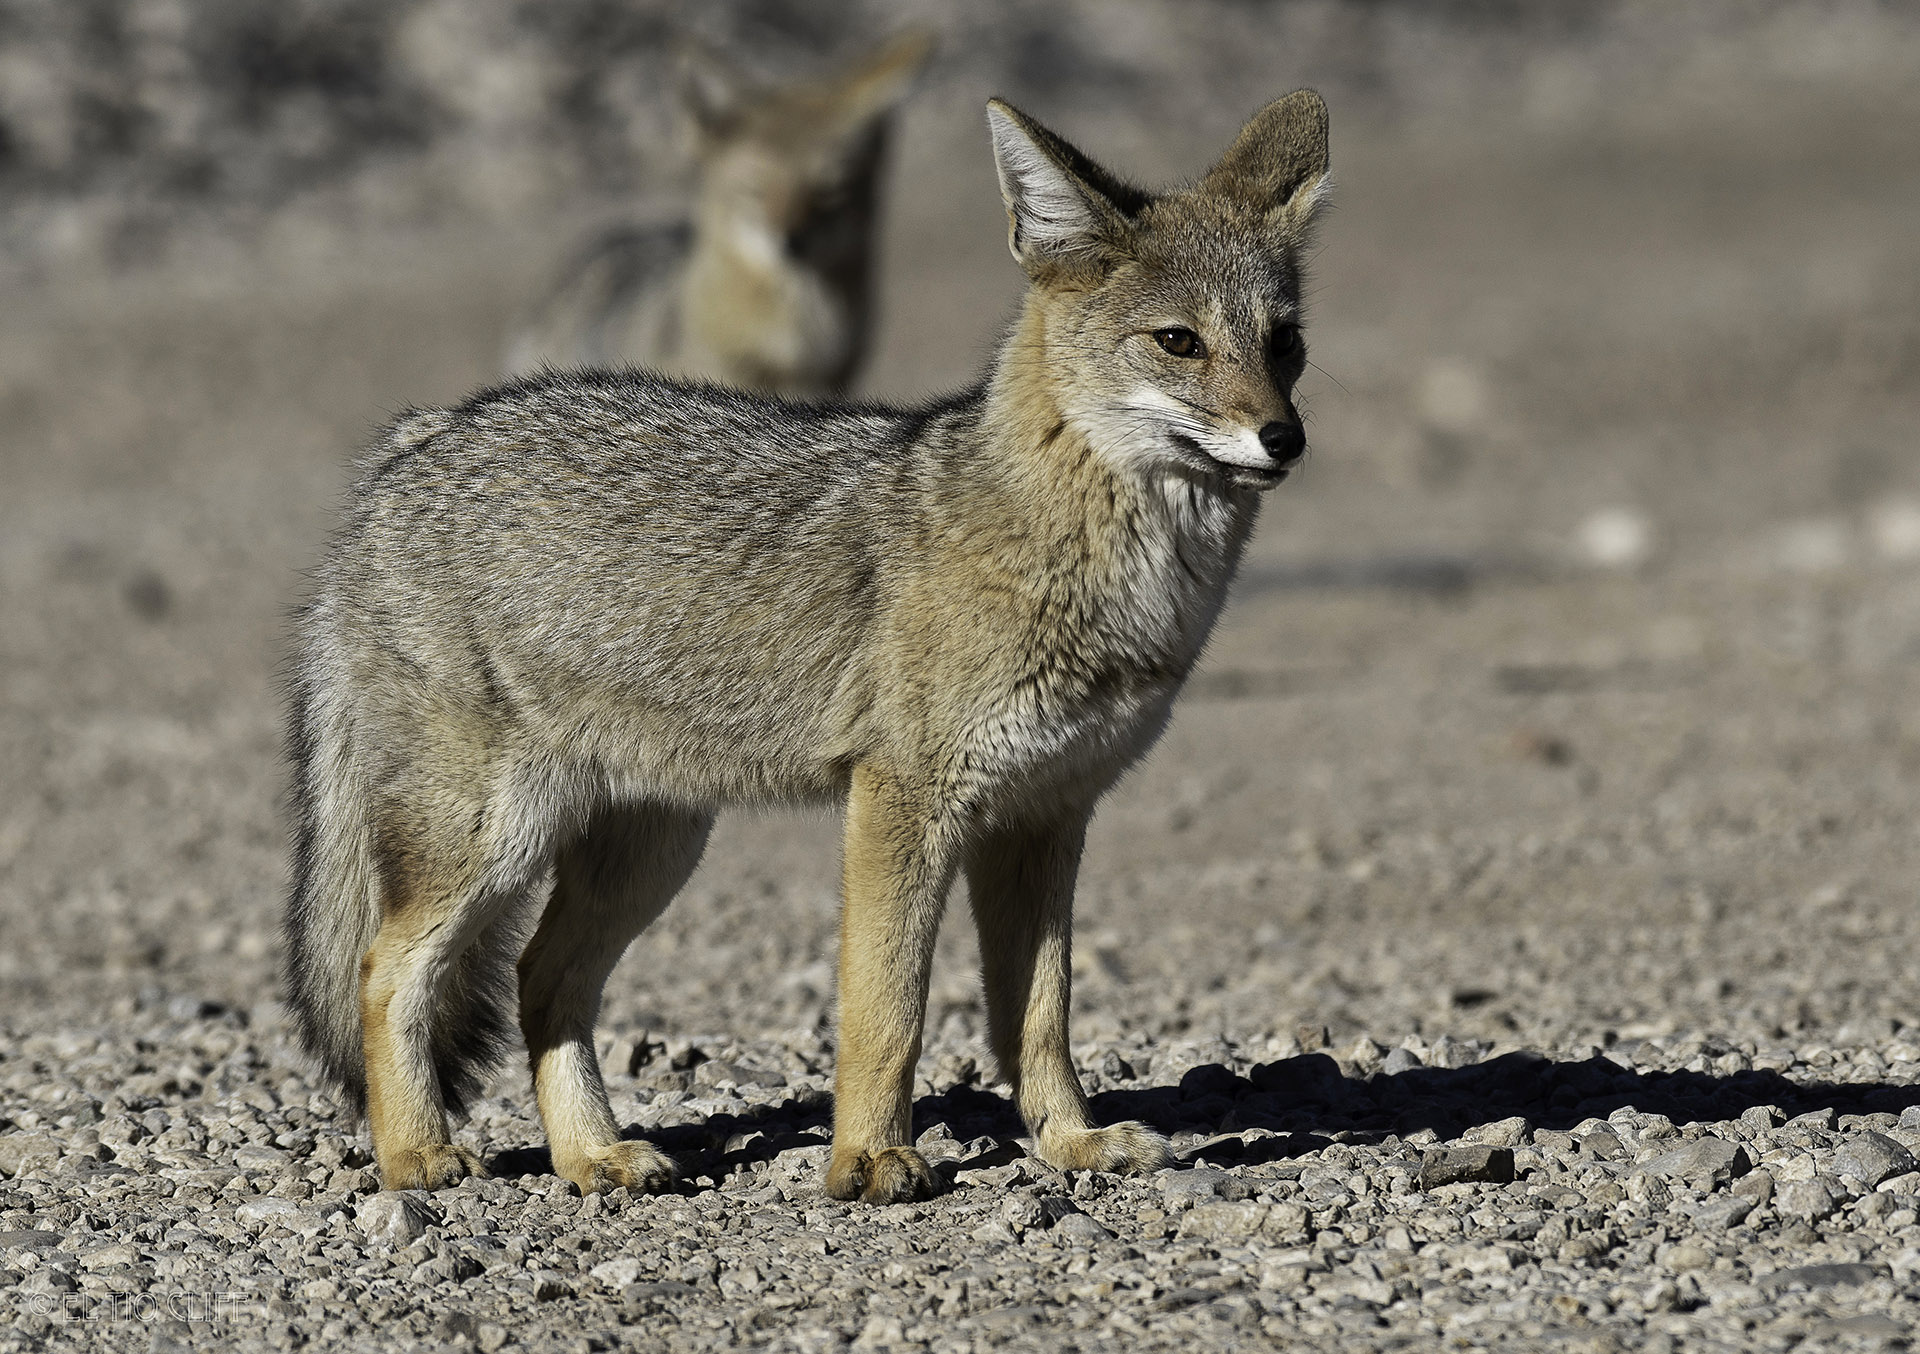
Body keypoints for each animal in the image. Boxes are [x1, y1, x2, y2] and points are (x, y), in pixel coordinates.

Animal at [284, 90, 1331, 1204]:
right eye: (1179, 341)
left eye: (1285, 343)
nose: (1285, 438)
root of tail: (419, 437)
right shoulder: (904, 800)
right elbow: (886, 1009)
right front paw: (868, 1159)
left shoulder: (1046, 817)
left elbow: (1039, 1017)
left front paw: (1070, 1141)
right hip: (494, 841)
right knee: (387, 969)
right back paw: (416, 1153)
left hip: (651, 851)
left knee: (539, 978)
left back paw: (592, 1153)